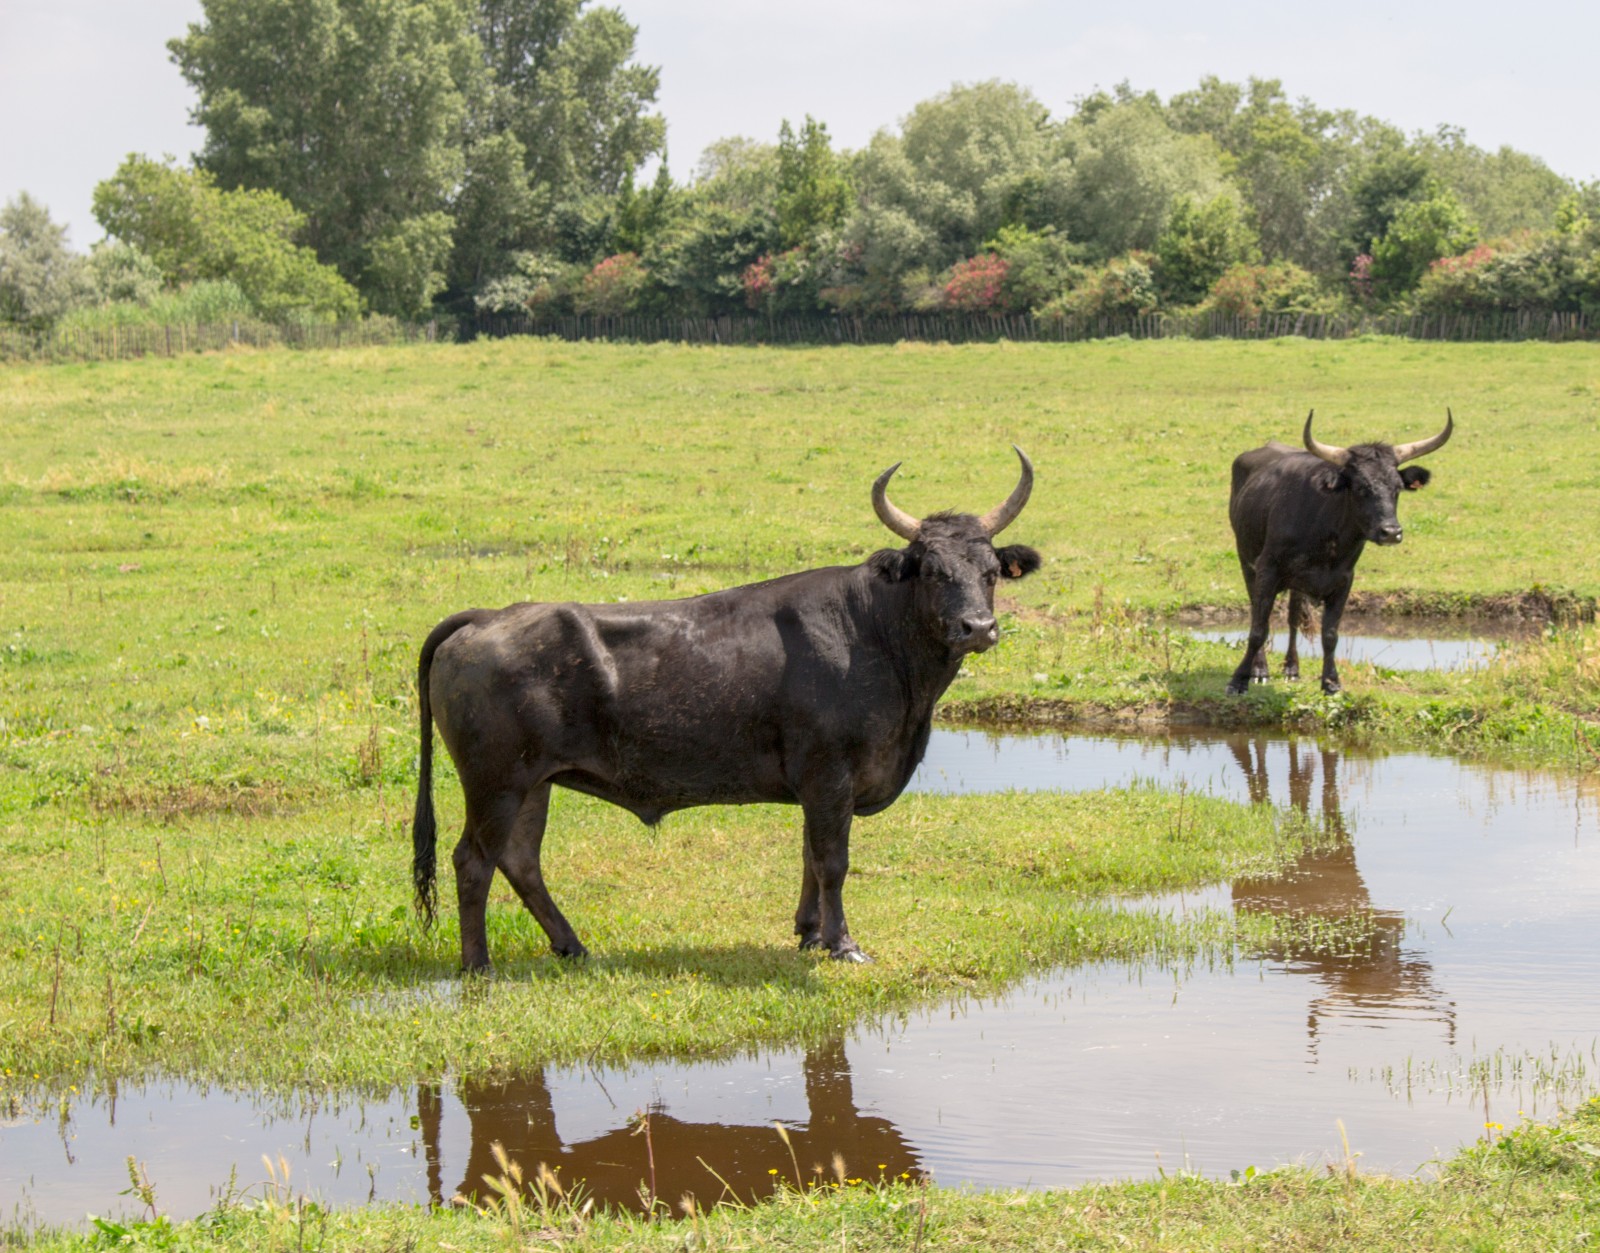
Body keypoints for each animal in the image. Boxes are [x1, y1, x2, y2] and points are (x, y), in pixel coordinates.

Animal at [406, 451, 1043, 972]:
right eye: (933, 571)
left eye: (990, 572)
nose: (978, 627)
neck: (875, 635)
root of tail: (488, 615)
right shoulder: (830, 772)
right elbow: (832, 859)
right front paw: (842, 944)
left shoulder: (818, 785)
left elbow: (809, 853)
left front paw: (809, 933)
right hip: (496, 783)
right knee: (473, 861)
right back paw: (478, 965)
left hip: (534, 783)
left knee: (520, 861)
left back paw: (573, 947)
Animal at [1222, 412, 1452, 694]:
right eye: (1361, 487)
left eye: (1397, 487)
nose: (1391, 532)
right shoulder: (1267, 570)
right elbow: (1258, 628)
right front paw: (1240, 679)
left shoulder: (1343, 580)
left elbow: (1330, 634)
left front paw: (1331, 682)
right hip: (1246, 559)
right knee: (1259, 612)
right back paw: (1260, 669)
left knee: (1293, 616)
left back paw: (1292, 667)